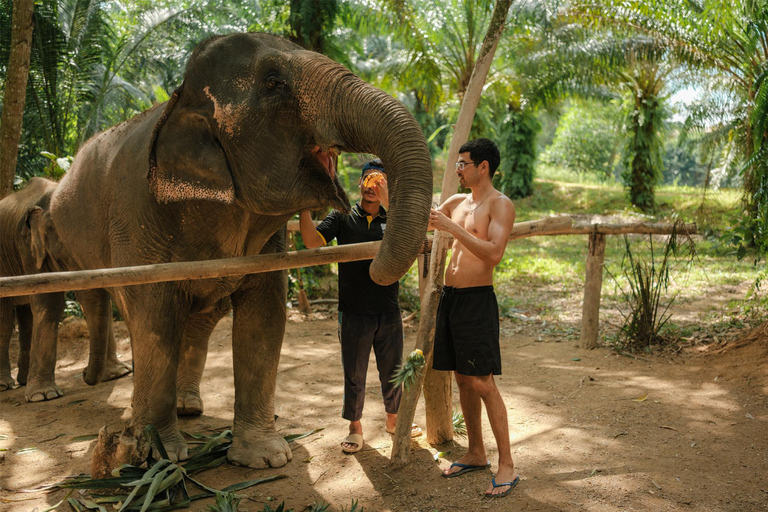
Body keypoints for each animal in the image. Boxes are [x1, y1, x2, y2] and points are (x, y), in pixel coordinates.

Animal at [0, 179, 130, 400]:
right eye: (66, 257)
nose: (84, 372)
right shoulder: (28, 249)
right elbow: (50, 304)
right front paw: (44, 396)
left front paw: (117, 374)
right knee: (5, 318)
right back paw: (5, 386)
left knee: (26, 316)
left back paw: (23, 381)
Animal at [48, 34, 432, 470]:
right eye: (272, 83)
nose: (374, 263)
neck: (179, 100)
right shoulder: (137, 219)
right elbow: (154, 320)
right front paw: (160, 458)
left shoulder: (267, 245)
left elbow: (264, 319)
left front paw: (265, 458)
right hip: (74, 243)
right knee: (105, 301)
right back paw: (110, 389)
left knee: (200, 318)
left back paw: (188, 406)